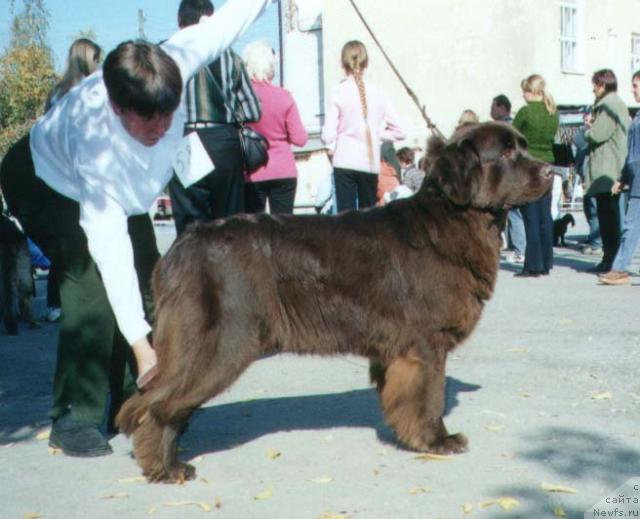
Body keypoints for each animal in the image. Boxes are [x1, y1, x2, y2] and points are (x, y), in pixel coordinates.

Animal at [119, 123, 556, 484]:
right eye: (506, 153)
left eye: (521, 147)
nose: (552, 171)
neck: (454, 218)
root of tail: (182, 245)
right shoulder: (427, 344)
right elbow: (430, 397)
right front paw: (437, 441)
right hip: (223, 343)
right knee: (157, 404)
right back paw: (164, 468)